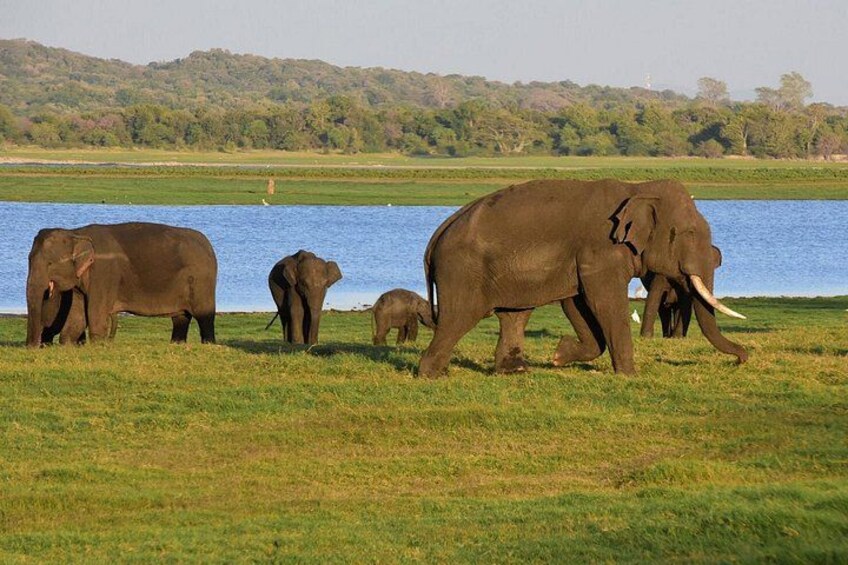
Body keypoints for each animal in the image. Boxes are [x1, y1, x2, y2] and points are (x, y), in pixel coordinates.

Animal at [26, 222, 217, 347]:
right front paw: (69, 345)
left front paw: (97, 345)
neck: (76, 232)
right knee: (180, 318)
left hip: (202, 281)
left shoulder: (104, 272)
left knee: (204, 317)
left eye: (50, 263)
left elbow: (95, 314)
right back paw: (176, 344)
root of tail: (209, 244)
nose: (32, 347)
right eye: (28, 259)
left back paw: (208, 344)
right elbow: (77, 312)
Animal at [418, 179, 747, 377]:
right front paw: (629, 374)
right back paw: (431, 373)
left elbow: (578, 304)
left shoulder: (580, 259)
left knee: (515, 315)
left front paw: (559, 354)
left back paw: (515, 371)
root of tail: (438, 232)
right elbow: (605, 302)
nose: (742, 357)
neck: (636, 188)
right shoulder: (601, 249)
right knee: (459, 317)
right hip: (462, 271)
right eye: (687, 233)